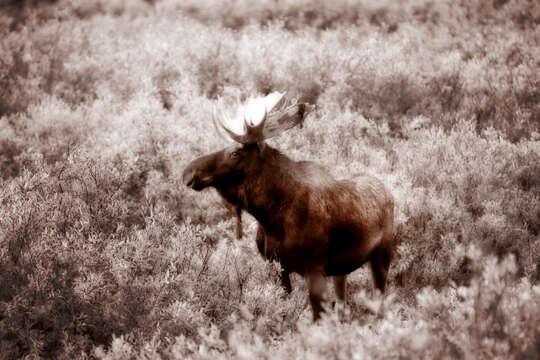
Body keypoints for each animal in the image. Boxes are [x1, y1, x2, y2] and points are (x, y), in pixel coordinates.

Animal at [181, 93, 392, 320]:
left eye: (235, 153)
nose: (188, 172)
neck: (271, 217)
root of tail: (389, 193)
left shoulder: (315, 267)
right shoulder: (276, 266)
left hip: (381, 257)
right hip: (341, 271)